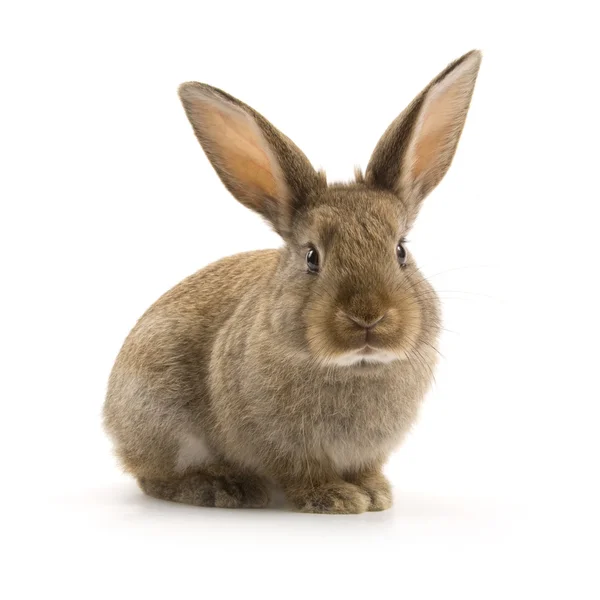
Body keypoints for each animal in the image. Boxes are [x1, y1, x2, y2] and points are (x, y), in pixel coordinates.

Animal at [104, 49, 482, 512]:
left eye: (400, 251)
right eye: (312, 257)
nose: (368, 317)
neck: (355, 367)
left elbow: (365, 468)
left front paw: (375, 494)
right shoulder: (282, 446)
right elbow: (303, 473)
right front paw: (336, 499)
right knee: (154, 477)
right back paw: (223, 488)